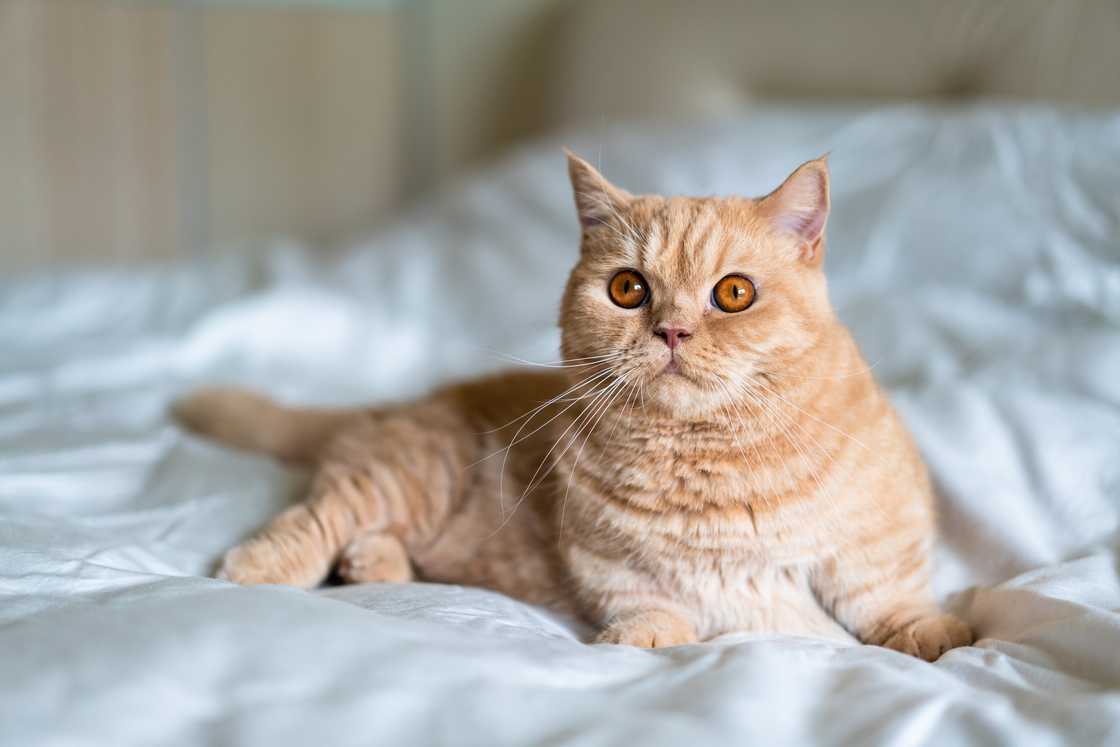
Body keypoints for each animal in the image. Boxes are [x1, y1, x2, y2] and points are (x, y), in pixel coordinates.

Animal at [174, 150, 972, 658]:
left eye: (734, 293)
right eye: (628, 289)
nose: (672, 329)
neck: (704, 453)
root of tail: (406, 402)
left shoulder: (879, 534)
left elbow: (887, 596)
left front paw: (934, 631)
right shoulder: (608, 561)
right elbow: (646, 598)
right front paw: (645, 634)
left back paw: (371, 564)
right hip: (408, 475)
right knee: (322, 512)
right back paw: (264, 566)